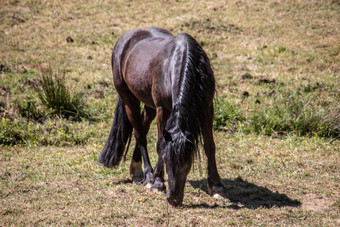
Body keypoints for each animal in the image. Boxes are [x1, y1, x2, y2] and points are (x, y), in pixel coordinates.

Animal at [98, 27, 226, 207]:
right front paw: (157, 183)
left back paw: (137, 170)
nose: (174, 199)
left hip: (149, 104)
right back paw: (146, 174)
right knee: (140, 133)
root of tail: (126, 38)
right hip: (129, 98)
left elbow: (209, 146)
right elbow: (160, 144)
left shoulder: (207, 108)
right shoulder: (162, 110)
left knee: (143, 127)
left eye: (188, 163)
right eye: (168, 161)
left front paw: (216, 186)